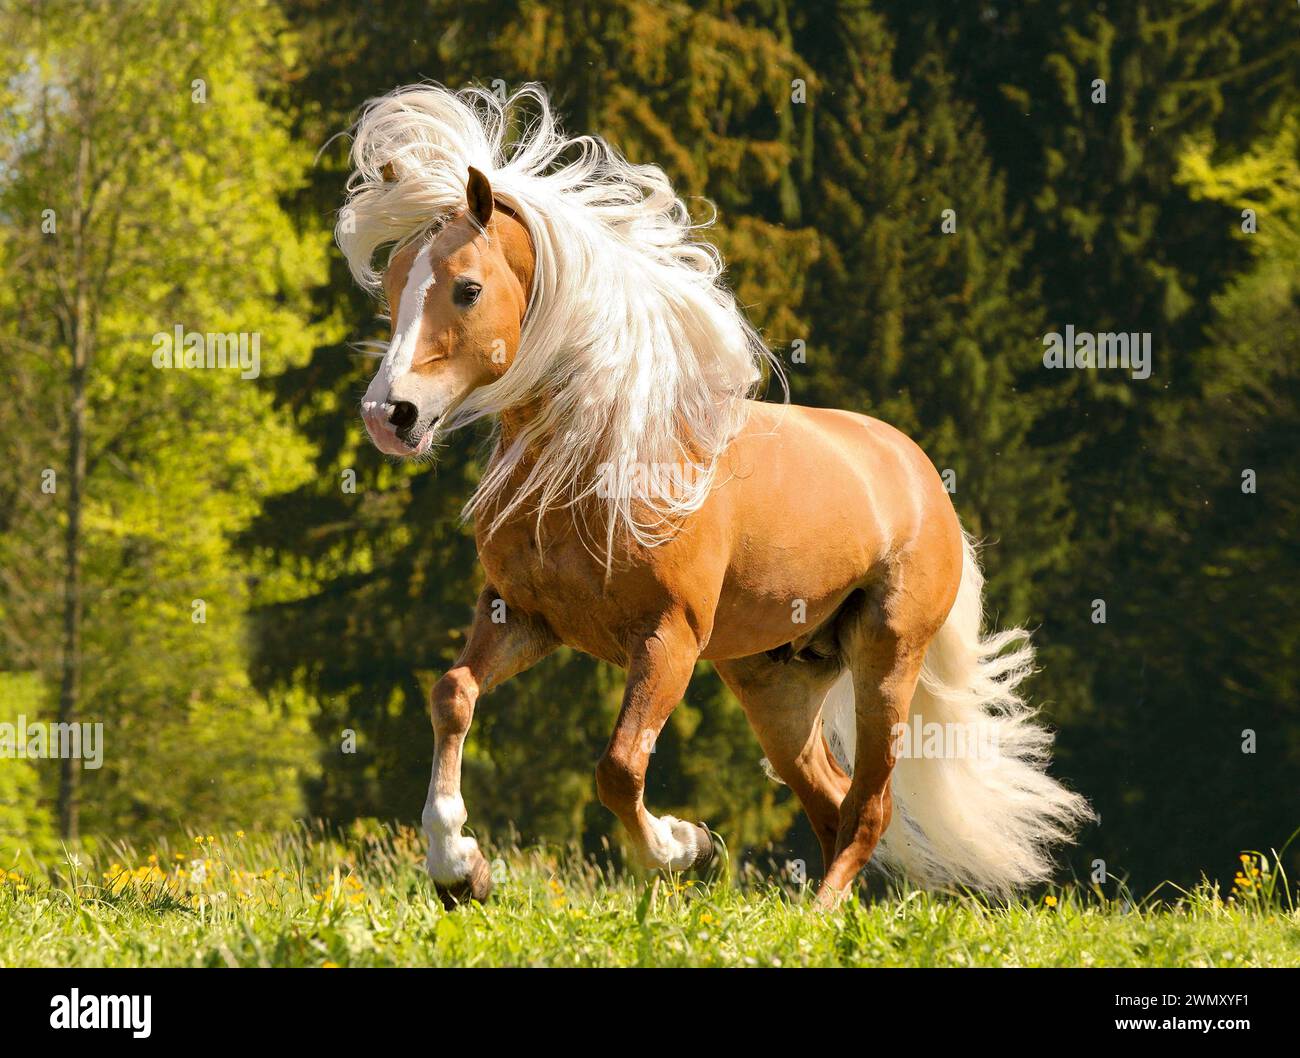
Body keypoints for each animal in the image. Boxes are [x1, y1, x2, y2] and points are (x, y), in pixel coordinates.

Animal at [335, 82, 1086, 909]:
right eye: (395, 289)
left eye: (467, 288)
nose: (390, 415)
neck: (600, 455)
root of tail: (925, 481)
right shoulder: (523, 616)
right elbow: (453, 697)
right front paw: (459, 867)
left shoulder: (669, 639)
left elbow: (619, 766)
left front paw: (683, 847)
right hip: (775, 684)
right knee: (830, 800)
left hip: (886, 659)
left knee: (869, 808)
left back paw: (816, 918)